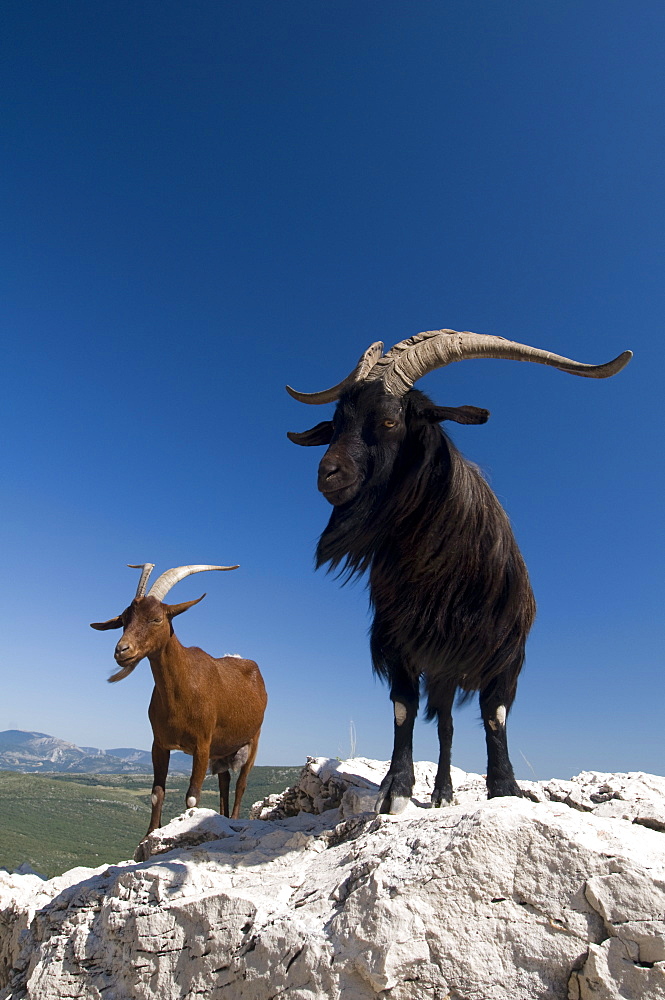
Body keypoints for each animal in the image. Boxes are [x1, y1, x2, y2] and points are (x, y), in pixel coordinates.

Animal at [91, 564, 268, 844]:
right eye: (124, 620)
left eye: (156, 619)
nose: (122, 651)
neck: (181, 692)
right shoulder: (159, 744)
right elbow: (157, 792)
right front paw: (148, 837)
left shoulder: (202, 745)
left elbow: (193, 797)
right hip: (222, 750)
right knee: (225, 781)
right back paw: (223, 818)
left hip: (252, 740)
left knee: (241, 783)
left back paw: (234, 819)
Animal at [288, 328, 632, 812]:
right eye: (336, 424)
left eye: (390, 422)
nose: (328, 473)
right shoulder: (400, 640)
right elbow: (404, 709)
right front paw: (396, 788)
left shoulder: (505, 651)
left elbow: (495, 715)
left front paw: (505, 787)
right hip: (441, 668)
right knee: (446, 724)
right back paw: (442, 791)